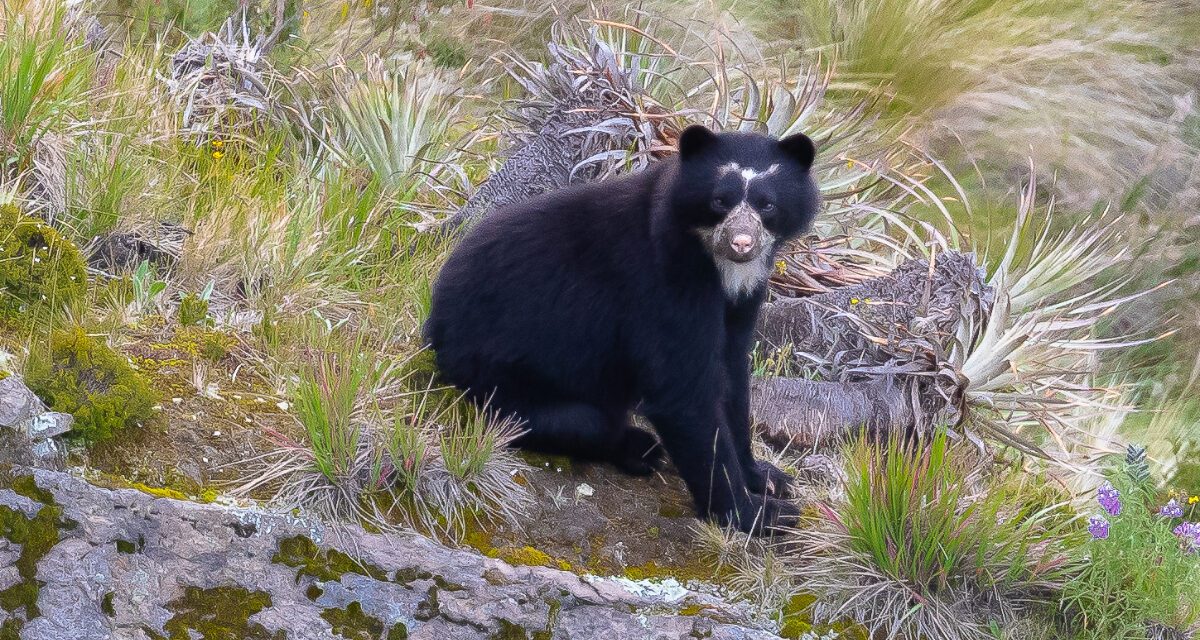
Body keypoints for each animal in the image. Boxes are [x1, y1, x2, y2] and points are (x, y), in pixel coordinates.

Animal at [427, 126, 820, 533]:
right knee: (581, 422)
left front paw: (768, 477)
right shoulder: (665, 282)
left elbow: (733, 377)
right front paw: (758, 514)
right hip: (501, 380)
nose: (741, 244)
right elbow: (683, 392)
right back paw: (639, 448)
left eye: (766, 205)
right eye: (719, 201)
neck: (719, 267)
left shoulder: (743, 297)